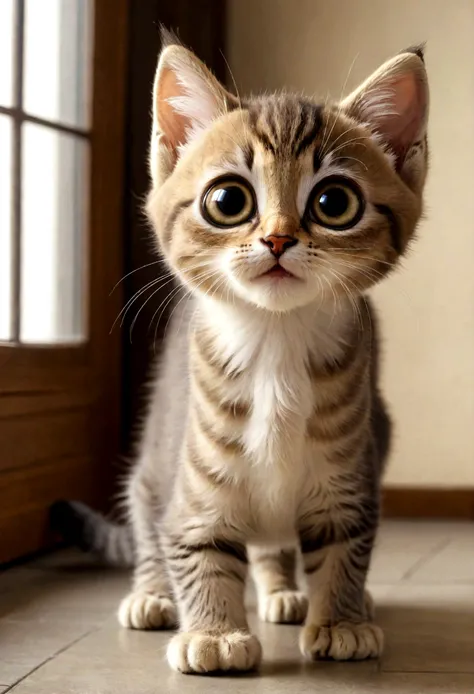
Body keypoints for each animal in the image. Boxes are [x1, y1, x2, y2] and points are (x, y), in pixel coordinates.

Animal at [50, 35, 428, 676]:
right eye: (228, 200)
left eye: (334, 201)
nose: (278, 238)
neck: (276, 342)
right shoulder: (195, 486)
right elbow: (195, 546)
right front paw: (215, 631)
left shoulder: (348, 478)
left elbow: (344, 547)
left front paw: (342, 619)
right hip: (155, 456)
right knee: (149, 523)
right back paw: (152, 594)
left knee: (273, 547)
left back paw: (287, 592)